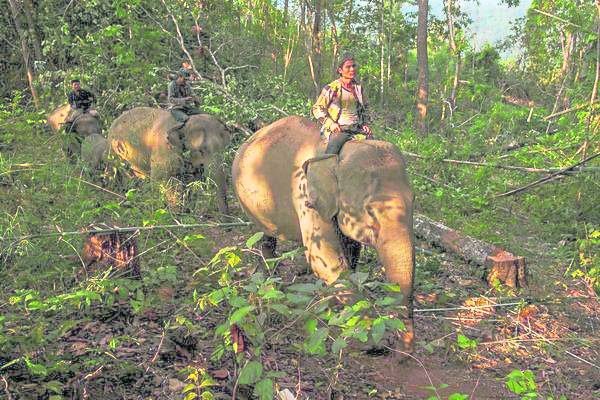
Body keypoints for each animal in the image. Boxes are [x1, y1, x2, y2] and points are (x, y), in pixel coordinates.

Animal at [232, 116, 414, 354]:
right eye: (371, 211)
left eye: (414, 203)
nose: (403, 351)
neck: (341, 151)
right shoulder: (306, 197)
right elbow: (326, 260)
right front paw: (369, 338)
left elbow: (350, 252)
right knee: (266, 238)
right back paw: (270, 285)